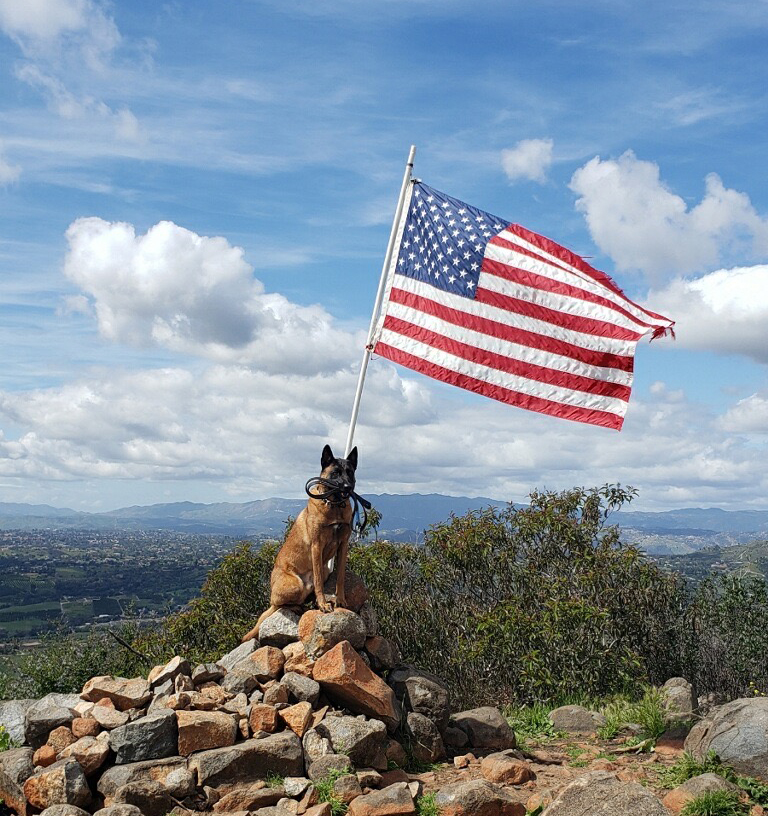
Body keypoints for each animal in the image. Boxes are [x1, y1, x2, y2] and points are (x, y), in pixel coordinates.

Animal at [242, 444, 358, 640]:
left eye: (349, 472)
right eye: (335, 473)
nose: (348, 487)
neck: (333, 506)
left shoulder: (343, 546)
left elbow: (341, 577)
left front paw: (340, 599)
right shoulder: (317, 547)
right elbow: (319, 583)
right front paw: (323, 604)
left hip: (324, 571)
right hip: (295, 584)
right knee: (279, 604)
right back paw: (297, 606)